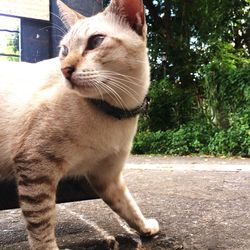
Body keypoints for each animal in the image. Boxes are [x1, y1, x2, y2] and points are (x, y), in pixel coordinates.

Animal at [0, 0, 160, 249]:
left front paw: (145, 228)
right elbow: (41, 224)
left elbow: (128, 207)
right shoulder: (35, 165)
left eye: (95, 42)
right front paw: (48, 245)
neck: (114, 112)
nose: (65, 70)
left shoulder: (107, 176)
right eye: (64, 51)